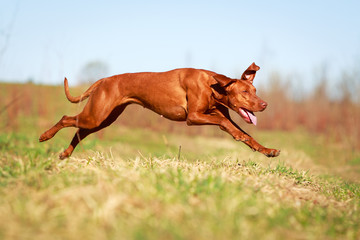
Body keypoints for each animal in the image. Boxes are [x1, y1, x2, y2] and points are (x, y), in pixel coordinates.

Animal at [40, 62, 282, 159]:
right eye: (244, 92)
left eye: (255, 90)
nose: (264, 105)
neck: (214, 85)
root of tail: (105, 80)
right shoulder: (193, 117)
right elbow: (228, 126)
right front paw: (239, 136)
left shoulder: (221, 115)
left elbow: (247, 135)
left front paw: (267, 150)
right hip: (95, 115)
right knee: (66, 118)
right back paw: (45, 136)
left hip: (102, 119)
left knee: (79, 131)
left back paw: (65, 153)